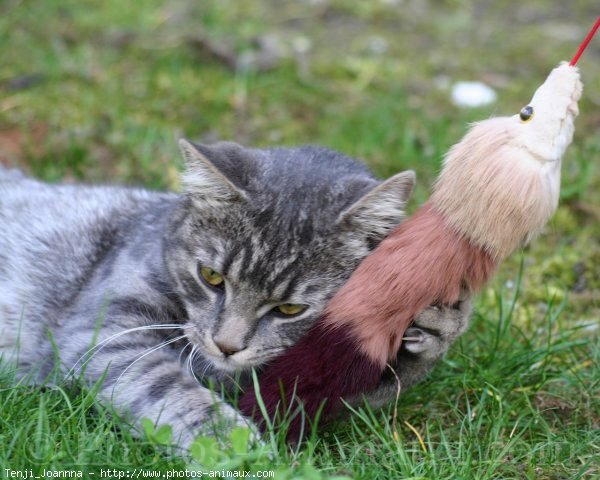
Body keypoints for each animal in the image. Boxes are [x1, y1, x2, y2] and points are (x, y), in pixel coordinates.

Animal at [0, 141, 472, 448]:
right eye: (211, 276)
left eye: (290, 308)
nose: (225, 346)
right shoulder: (108, 328)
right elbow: (167, 384)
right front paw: (230, 443)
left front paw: (437, 323)